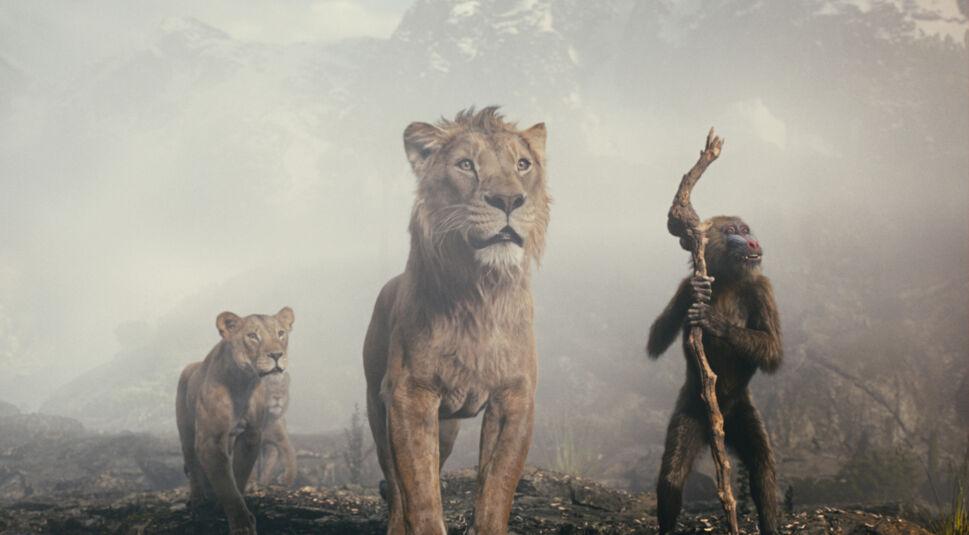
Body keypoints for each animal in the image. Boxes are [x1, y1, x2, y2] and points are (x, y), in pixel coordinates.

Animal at [176, 307, 294, 535]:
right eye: (253, 336)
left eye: (281, 333)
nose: (277, 355)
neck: (243, 383)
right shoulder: (210, 439)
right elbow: (225, 482)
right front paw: (241, 525)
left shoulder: (251, 435)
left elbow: (238, 475)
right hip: (185, 429)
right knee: (192, 462)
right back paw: (198, 500)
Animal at [363, 107, 549, 535]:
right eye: (466, 165)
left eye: (523, 164)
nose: (508, 199)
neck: (480, 292)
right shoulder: (409, 394)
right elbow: (420, 492)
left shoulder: (515, 397)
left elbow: (497, 488)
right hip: (378, 408)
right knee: (395, 484)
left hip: (446, 425)